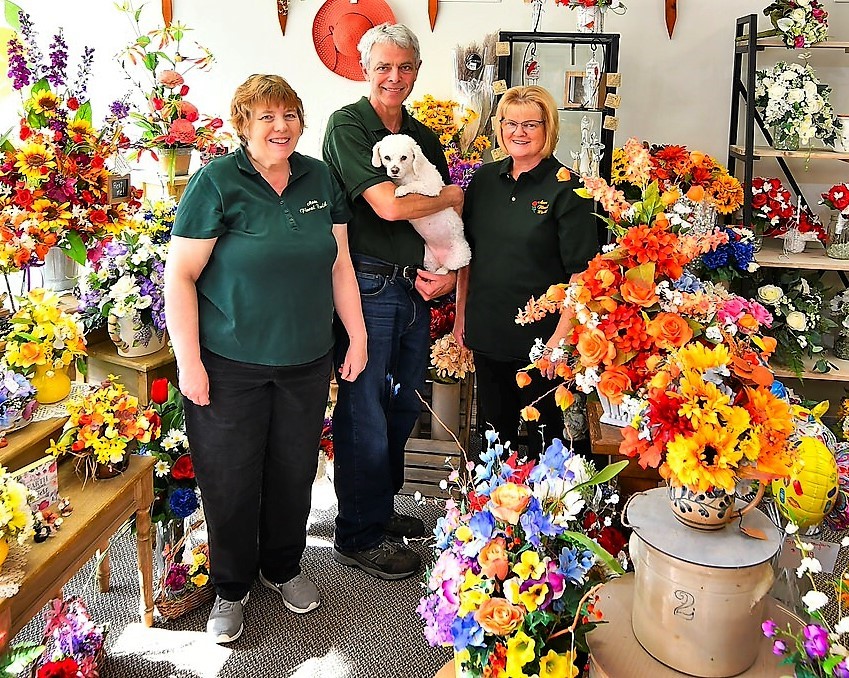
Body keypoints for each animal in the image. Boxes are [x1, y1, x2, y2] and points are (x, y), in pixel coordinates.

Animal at [372, 133, 474, 274]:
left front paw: (401, 190)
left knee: (449, 268)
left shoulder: (430, 186)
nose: (394, 170)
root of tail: (441, 259)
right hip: (428, 258)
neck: (409, 172)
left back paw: (441, 271)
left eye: (404, 157)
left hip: (461, 256)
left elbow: (414, 184)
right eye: (387, 157)